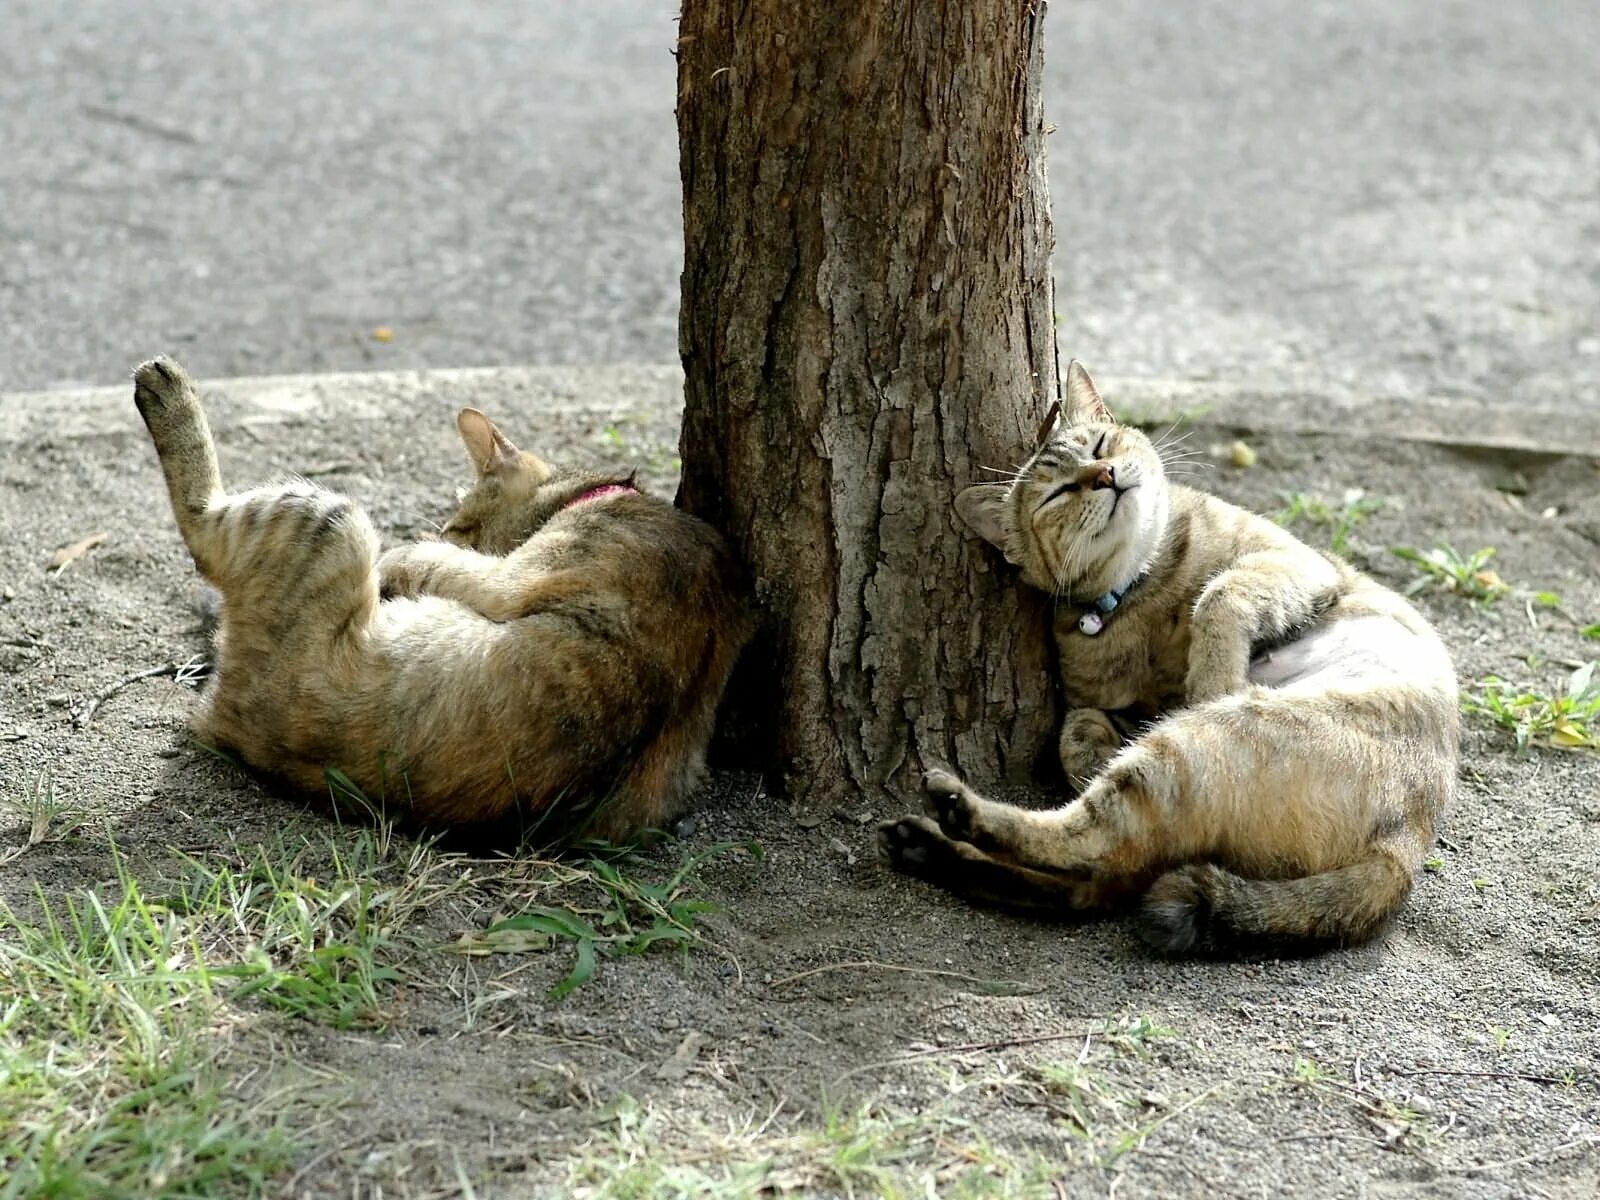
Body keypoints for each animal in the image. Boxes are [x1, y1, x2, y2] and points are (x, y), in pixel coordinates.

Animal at [132, 356, 748, 844]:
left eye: (457, 526)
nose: (447, 531)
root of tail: (229, 723)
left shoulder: (508, 577)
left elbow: (423, 559)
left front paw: (402, 559)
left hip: (329, 516)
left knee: (203, 531)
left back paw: (165, 387)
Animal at [883, 361, 1459, 953]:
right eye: (1057, 493)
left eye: (1100, 445)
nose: (1104, 475)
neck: (1144, 586)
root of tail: (1405, 845)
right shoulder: (1115, 706)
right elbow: (1077, 731)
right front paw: (1093, 753)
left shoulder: (1291, 562)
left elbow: (1219, 595)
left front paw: (1212, 675)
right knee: (1095, 863)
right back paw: (938, 835)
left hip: (1189, 749)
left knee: (1098, 859)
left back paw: (950, 824)